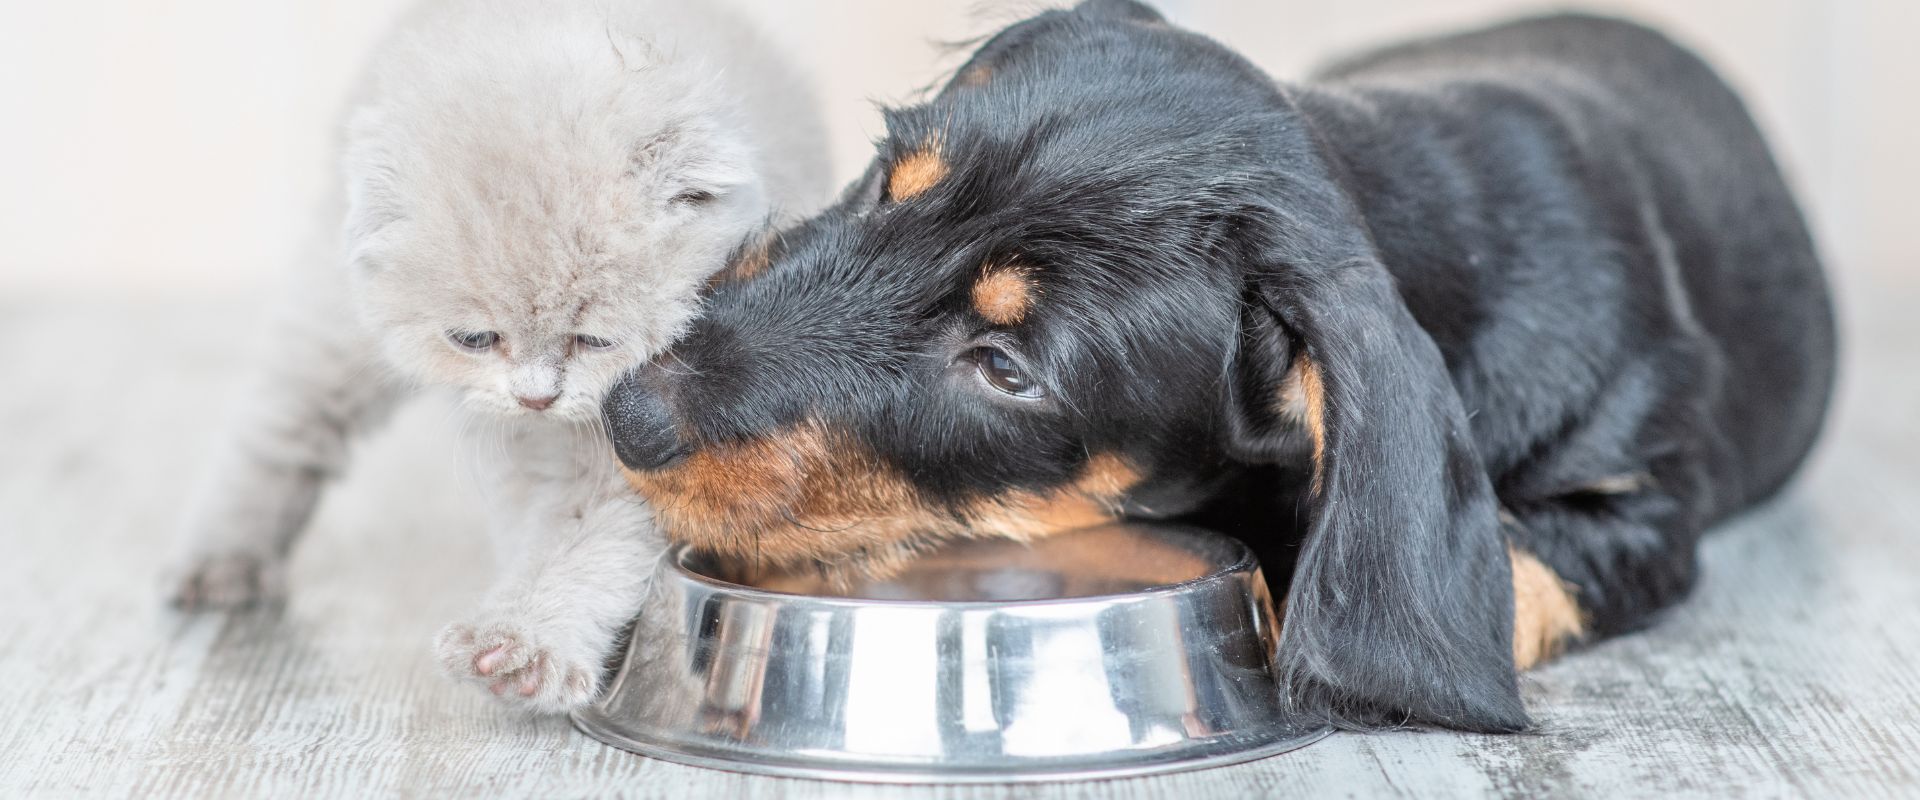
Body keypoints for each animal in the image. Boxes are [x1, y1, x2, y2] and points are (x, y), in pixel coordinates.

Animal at [178, 0, 833, 709]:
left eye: (594, 339)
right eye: (474, 338)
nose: (536, 396)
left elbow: (581, 535)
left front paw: (522, 648)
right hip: (336, 312)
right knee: (284, 419)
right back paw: (222, 560)